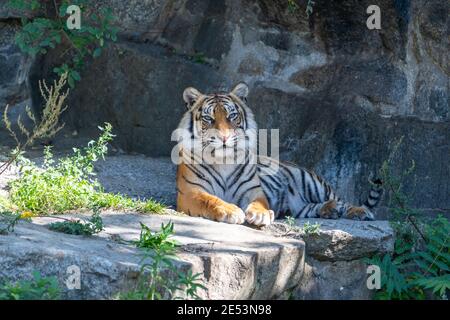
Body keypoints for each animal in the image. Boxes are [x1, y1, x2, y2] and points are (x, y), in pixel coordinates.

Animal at [173, 82, 384, 228]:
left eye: (232, 116)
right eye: (208, 119)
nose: (224, 138)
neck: (223, 160)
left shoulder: (253, 190)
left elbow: (259, 203)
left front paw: (261, 215)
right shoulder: (191, 192)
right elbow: (211, 199)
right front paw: (230, 210)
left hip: (311, 182)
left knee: (342, 200)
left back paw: (359, 211)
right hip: (300, 207)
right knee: (312, 208)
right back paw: (330, 210)